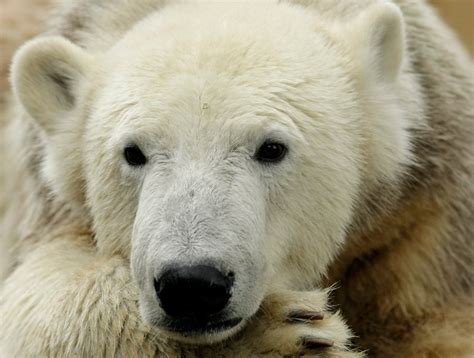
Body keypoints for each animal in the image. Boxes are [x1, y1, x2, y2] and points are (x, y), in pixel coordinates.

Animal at [0, 0, 474, 356]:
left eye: (272, 147)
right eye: (132, 152)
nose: (192, 284)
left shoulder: (428, 219)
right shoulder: (47, 210)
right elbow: (38, 305)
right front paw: (285, 329)